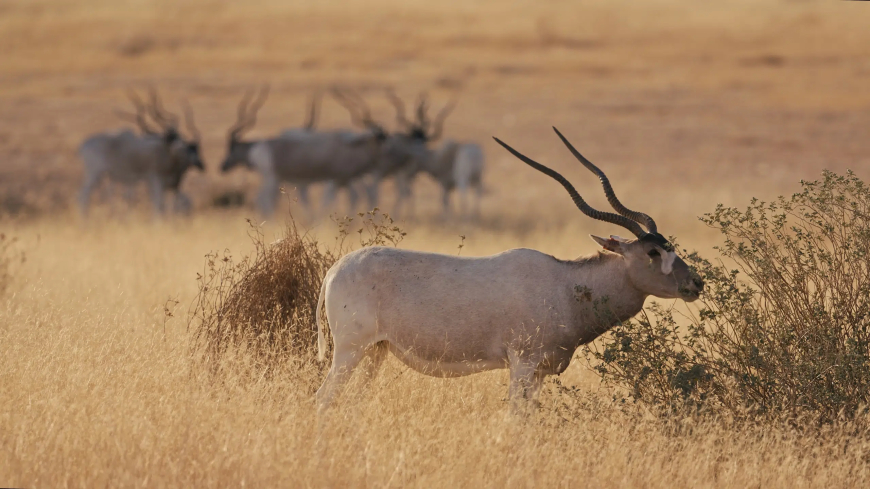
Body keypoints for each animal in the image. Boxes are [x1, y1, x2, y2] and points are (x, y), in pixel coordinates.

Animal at [79, 88, 206, 217]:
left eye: (195, 148)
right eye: (183, 146)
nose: (201, 165)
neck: (164, 152)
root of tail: (85, 144)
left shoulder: (167, 186)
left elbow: (163, 205)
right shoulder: (156, 182)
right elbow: (159, 205)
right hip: (95, 174)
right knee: (83, 195)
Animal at [316, 127, 704, 414]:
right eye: (653, 251)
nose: (695, 282)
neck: (567, 285)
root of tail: (334, 271)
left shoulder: (540, 373)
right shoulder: (522, 364)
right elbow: (516, 417)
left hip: (375, 351)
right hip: (350, 349)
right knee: (324, 397)